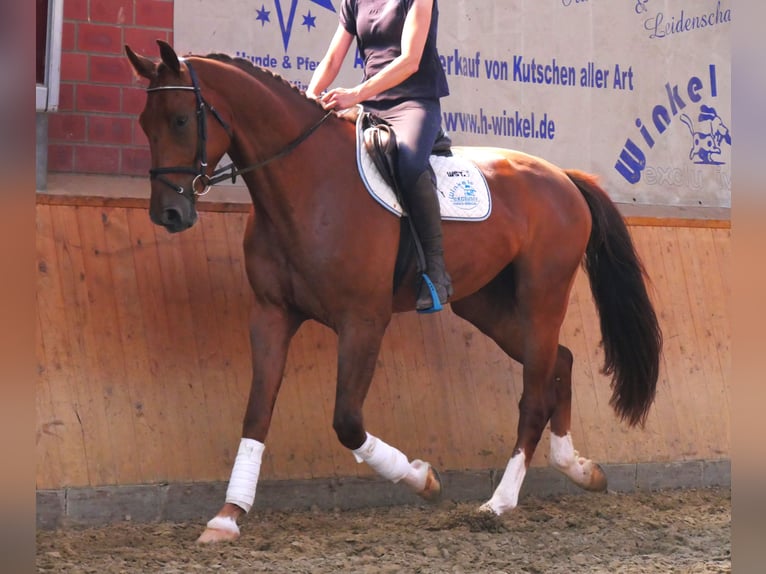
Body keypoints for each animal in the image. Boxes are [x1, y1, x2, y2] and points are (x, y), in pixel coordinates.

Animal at [127, 41, 664, 544]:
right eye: (144, 124)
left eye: (180, 120)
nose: (167, 214)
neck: (308, 184)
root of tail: (563, 178)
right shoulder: (271, 315)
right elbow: (257, 412)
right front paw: (227, 517)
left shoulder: (363, 321)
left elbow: (347, 421)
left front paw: (422, 479)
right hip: (485, 306)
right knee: (562, 361)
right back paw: (579, 469)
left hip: (542, 297)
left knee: (534, 394)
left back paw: (499, 503)